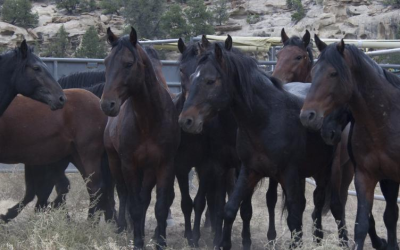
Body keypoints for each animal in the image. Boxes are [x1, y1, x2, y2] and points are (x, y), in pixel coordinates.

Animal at [0, 89, 115, 223]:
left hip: (88, 154)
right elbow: (38, 190)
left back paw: (91, 223)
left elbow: (38, 190)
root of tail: (98, 102)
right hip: (77, 156)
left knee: (96, 187)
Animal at [100, 27, 180, 248]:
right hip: (114, 161)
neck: (148, 121)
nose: (107, 104)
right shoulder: (129, 164)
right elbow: (134, 205)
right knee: (123, 194)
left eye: (128, 63)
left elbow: (159, 205)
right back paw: (122, 227)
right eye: (106, 62)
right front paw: (137, 241)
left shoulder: (165, 164)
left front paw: (160, 241)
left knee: (144, 199)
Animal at [180, 36, 336, 249]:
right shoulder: (248, 170)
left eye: (210, 81)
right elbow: (229, 209)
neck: (266, 119)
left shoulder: (287, 174)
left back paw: (317, 238)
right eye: (187, 73)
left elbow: (293, 218)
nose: (186, 120)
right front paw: (222, 242)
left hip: (323, 170)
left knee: (317, 201)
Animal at [300, 36, 400, 250]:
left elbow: (388, 216)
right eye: (313, 72)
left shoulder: (390, 177)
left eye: (333, 73)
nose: (307, 116)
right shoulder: (365, 176)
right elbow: (362, 224)